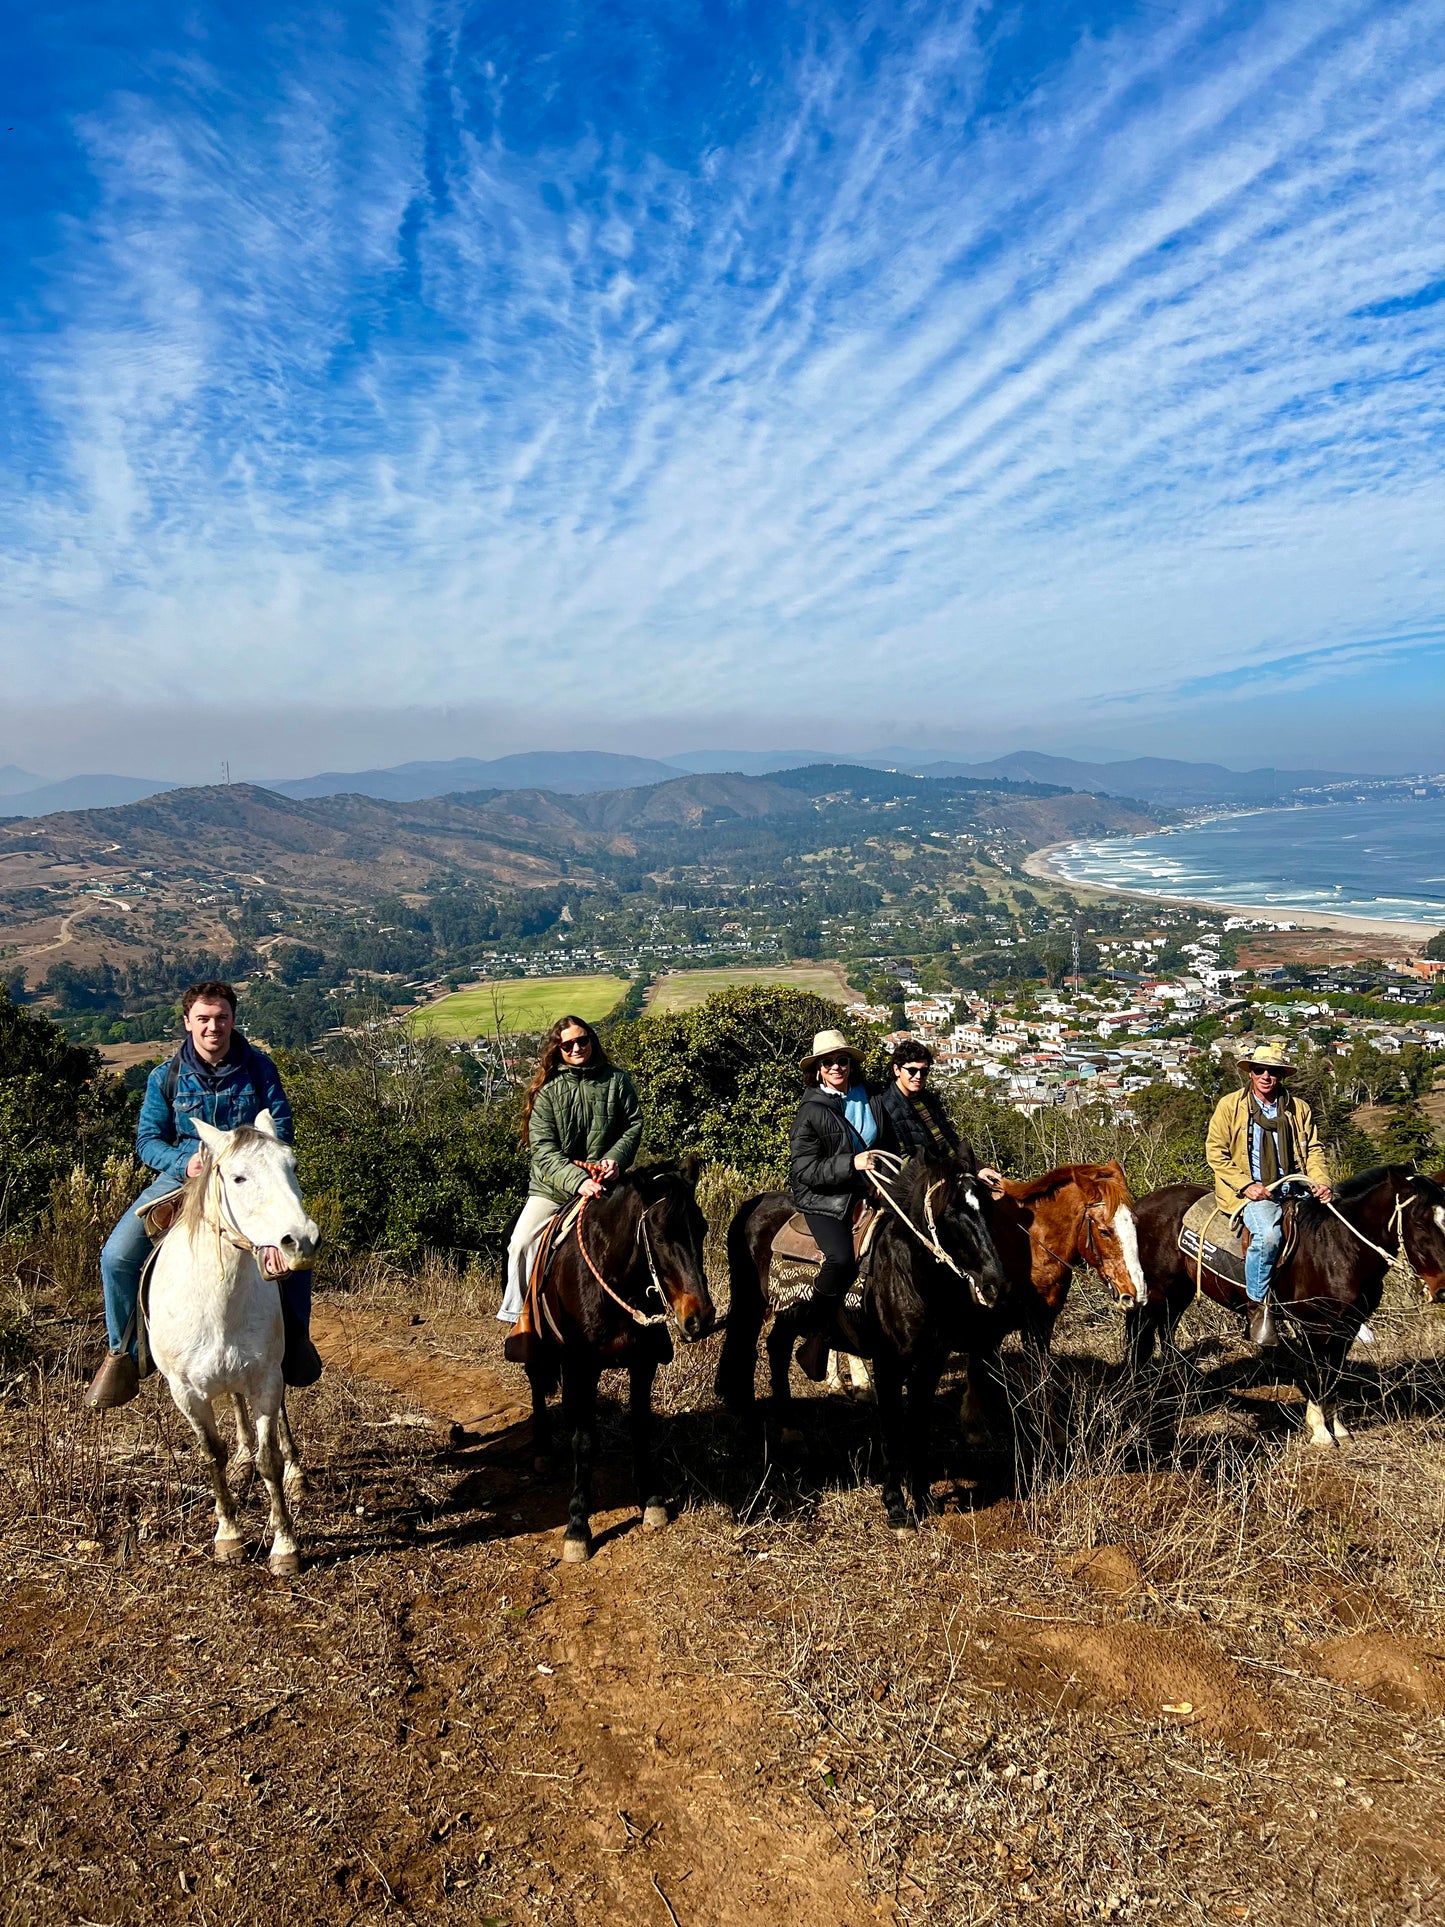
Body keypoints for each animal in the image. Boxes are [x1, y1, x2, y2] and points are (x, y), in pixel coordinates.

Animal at [148, 1109, 321, 1572]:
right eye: (239, 1177)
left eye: (292, 1166)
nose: (301, 1241)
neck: (217, 1305)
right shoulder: (186, 1393)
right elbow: (213, 1455)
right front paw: (229, 1535)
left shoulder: (265, 1378)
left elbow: (269, 1459)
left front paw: (284, 1545)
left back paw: (295, 1473)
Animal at [527, 1148, 720, 1557]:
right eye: (660, 1236)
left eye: (702, 1228)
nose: (700, 1317)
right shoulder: (582, 1366)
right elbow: (584, 1442)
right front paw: (577, 1527)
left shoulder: (642, 1364)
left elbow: (640, 1426)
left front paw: (651, 1501)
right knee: (537, 1384)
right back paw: (543, 1450)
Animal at [712, 1156, 1009, 1533]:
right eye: (952, 1212)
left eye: (987, 1206)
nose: (995, 1285)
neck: (908, 1274)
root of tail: (753, 1205)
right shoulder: (887, 1364)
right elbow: (892, 1430)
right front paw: (896, 1507)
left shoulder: (931, 1361)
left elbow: (919, 1427)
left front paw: (924, 1498)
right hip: (750, 1302)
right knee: (745, 1351)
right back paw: (750, 1422)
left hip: (786, 1315)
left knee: (776, 1349)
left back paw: (791, 1431)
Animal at [1132, 1156, 1445, 1449]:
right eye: (1419, 1222)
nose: (1442, 1289)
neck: (1338, 1247)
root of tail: (1141, 1204)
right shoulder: (1315, 1326)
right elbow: (1318, 1374)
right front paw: (1320, 1432)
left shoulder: (1348, 1326)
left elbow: (1335, 1374)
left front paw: (1339, 1428)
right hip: (1158, 1289)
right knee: (1142, 1335)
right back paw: (1142, 1388)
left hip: (1180, 1290)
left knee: (1166, 1329)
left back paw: (1178, 1381)